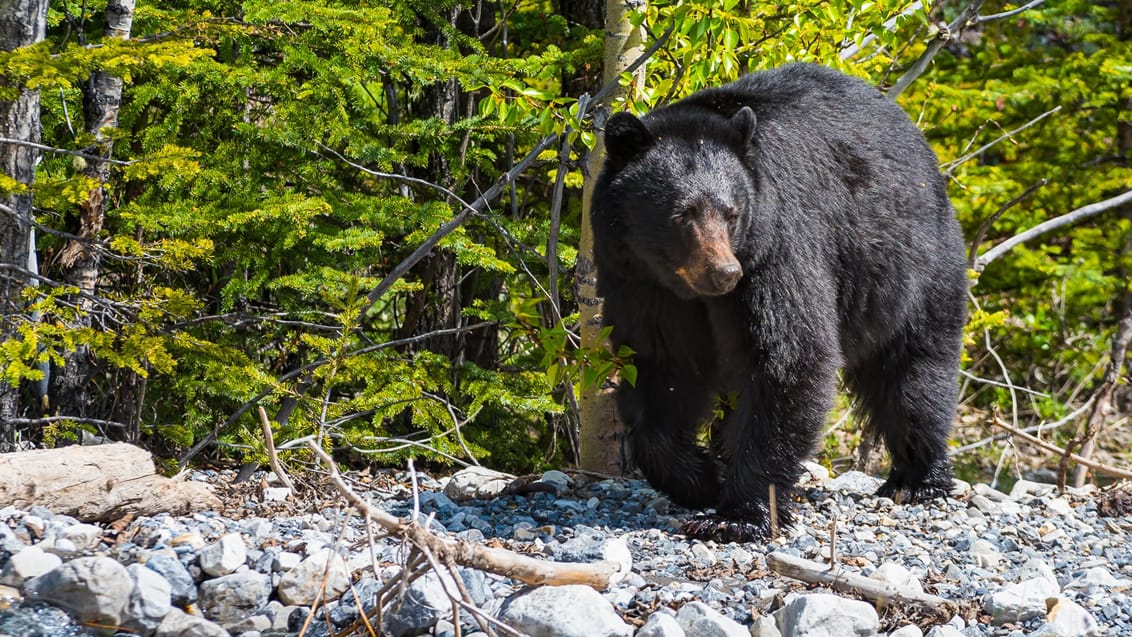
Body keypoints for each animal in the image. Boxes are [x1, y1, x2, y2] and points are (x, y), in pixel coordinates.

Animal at [588, 62, 968, 543]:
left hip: (913, 267)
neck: (687, 288)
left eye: (731, 213)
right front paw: (702, 479)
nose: (725, 273)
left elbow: (788, 357)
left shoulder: (776, 249)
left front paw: (740, 514)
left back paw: (918, 479)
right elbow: (664, 366)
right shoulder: (641, 281)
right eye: (682, 213)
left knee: (914, 373)